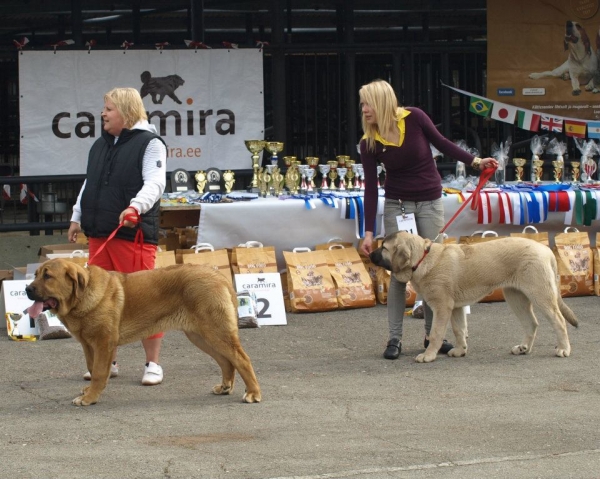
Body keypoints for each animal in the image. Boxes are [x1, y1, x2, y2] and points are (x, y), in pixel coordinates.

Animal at [25, 260, 260, 406]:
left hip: (215, 332)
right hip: (200, 336)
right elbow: (92, 369)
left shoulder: (103, 343)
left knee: (241, 359)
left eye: (48, 276)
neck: (81, 297)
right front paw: (88, 391)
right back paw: (225, 387)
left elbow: (99, 372)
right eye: (35, 275)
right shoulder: (88, 345)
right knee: (226, 361)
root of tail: (219, 276)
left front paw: (89, 398)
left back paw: (253, 393)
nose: (27, 289)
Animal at [368, 232, 580, 364]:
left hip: (540, 295)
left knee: (559, 321)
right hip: (515, 297)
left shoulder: (442, 307)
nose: (368, 253)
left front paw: (428, 355)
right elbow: (459, 329)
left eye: (384, 248)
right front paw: (461, 350)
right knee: (531, 323)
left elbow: (436, 333)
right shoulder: (455, 308)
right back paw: (524, 348)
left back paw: (563, 349)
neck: (422, 259)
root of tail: (546, 250)